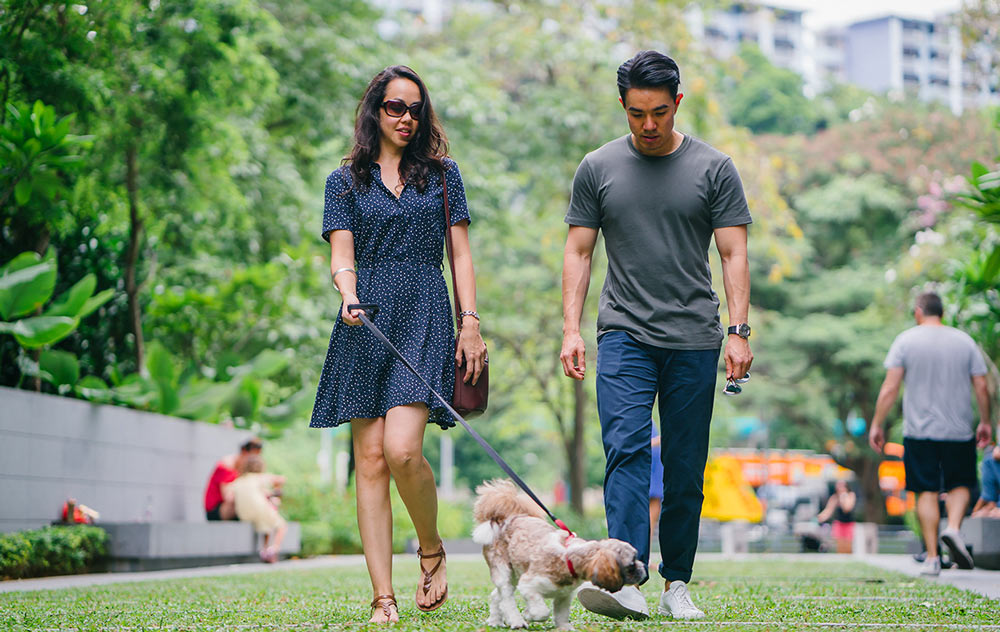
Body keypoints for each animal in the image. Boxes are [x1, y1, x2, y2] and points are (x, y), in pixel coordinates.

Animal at [470, 478, 644, 628]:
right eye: (631, 564)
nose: (643, 568)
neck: (567, 557)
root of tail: (507, 519)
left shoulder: (564, 596)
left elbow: (561, 614)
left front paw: (565, 628)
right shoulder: (528, 584)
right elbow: (542, 612)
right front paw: (528, 614)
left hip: (514, 574)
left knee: (496, 596)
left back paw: (495, 621)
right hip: (503, 571)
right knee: (506, 598)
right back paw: (516, 621)